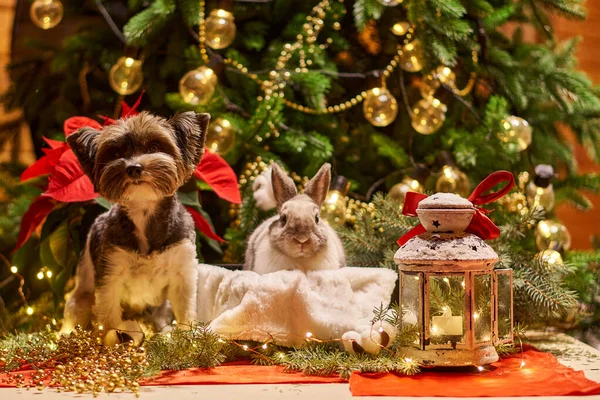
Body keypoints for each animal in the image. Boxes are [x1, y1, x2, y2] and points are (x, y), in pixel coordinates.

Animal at [61, 111, 211, 346]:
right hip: (81, 300)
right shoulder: (110, 271)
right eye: (115, 153)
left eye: (154, 146)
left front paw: (186, 339)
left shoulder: (183, 272)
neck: (144, 213)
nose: (133, 167)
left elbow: (185, 310)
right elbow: (110, 315)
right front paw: (117, 337)